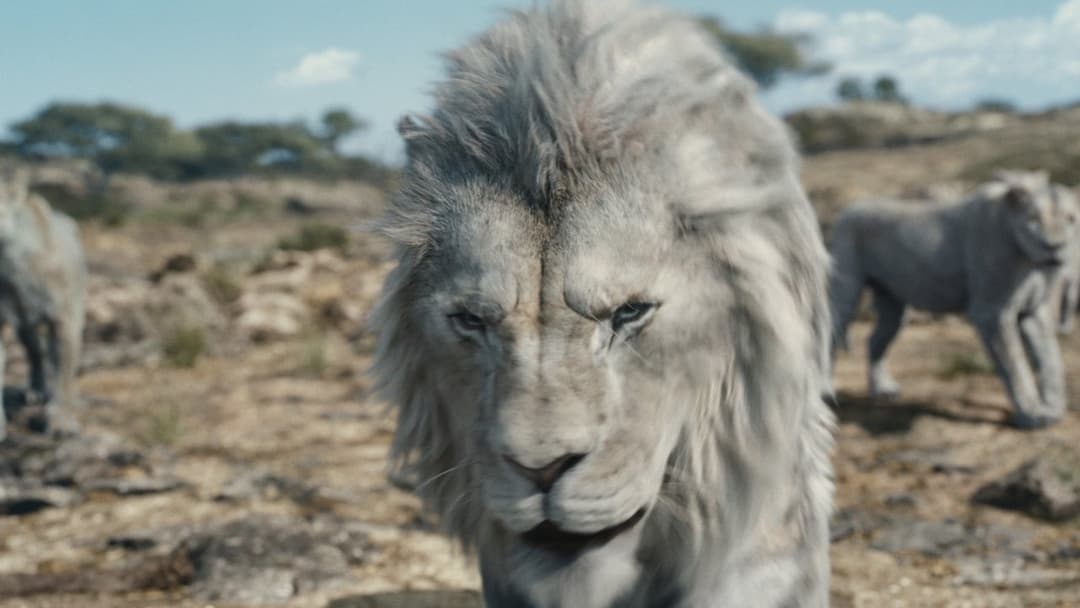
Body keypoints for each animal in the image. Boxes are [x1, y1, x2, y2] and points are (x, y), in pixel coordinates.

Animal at [0, 167, 87, 439]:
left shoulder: (65, 320)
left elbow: (63, 372)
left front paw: (61, 422)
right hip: (24, 325)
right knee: (35, 352)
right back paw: (36, 391)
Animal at [829, 170, 1077, 429]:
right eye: (1034, 220)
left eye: (1071, 219)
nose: (1055, 247)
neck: (1030, 261)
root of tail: (847, 210)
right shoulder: (991, 313)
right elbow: (1015, 364)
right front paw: (1032, 414)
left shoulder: (1034, 310)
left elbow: (1050, 359)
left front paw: (1054, 409)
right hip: (846, 289)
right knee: (830, 334)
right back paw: (826, 393)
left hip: (892, 308)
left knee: (874, 340)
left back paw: (882, 390)